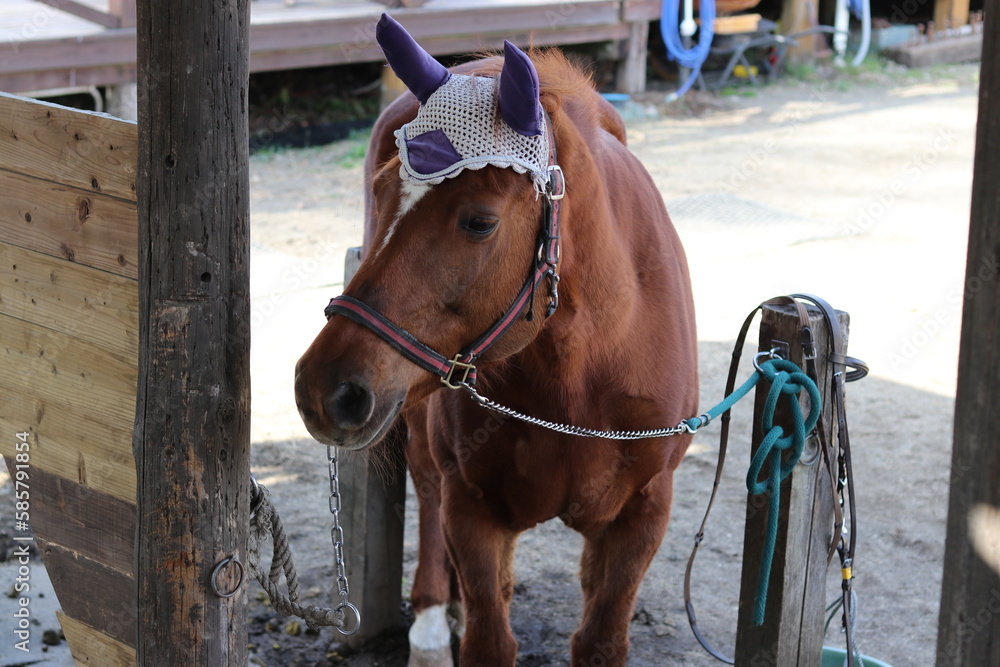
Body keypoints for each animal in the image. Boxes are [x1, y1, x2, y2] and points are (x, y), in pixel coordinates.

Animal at [294, 14, 698, 666]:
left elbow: (600, 640)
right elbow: (490, 636)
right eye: (381, 193)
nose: (324, 389)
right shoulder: (472, 508)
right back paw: (433, 622)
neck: (581, 371)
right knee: (426, 487)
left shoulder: (642, 514)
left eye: (479, 221)